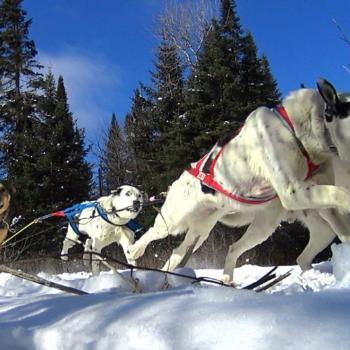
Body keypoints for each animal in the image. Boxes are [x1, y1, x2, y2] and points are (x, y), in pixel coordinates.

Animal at [129, 78, 350, 284]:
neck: (295, 128)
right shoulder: (292, 192)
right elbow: (342, 193)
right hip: (174, 221)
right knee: (153, 233)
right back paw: (134, 252)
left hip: (211, 231)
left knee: (188, 251)